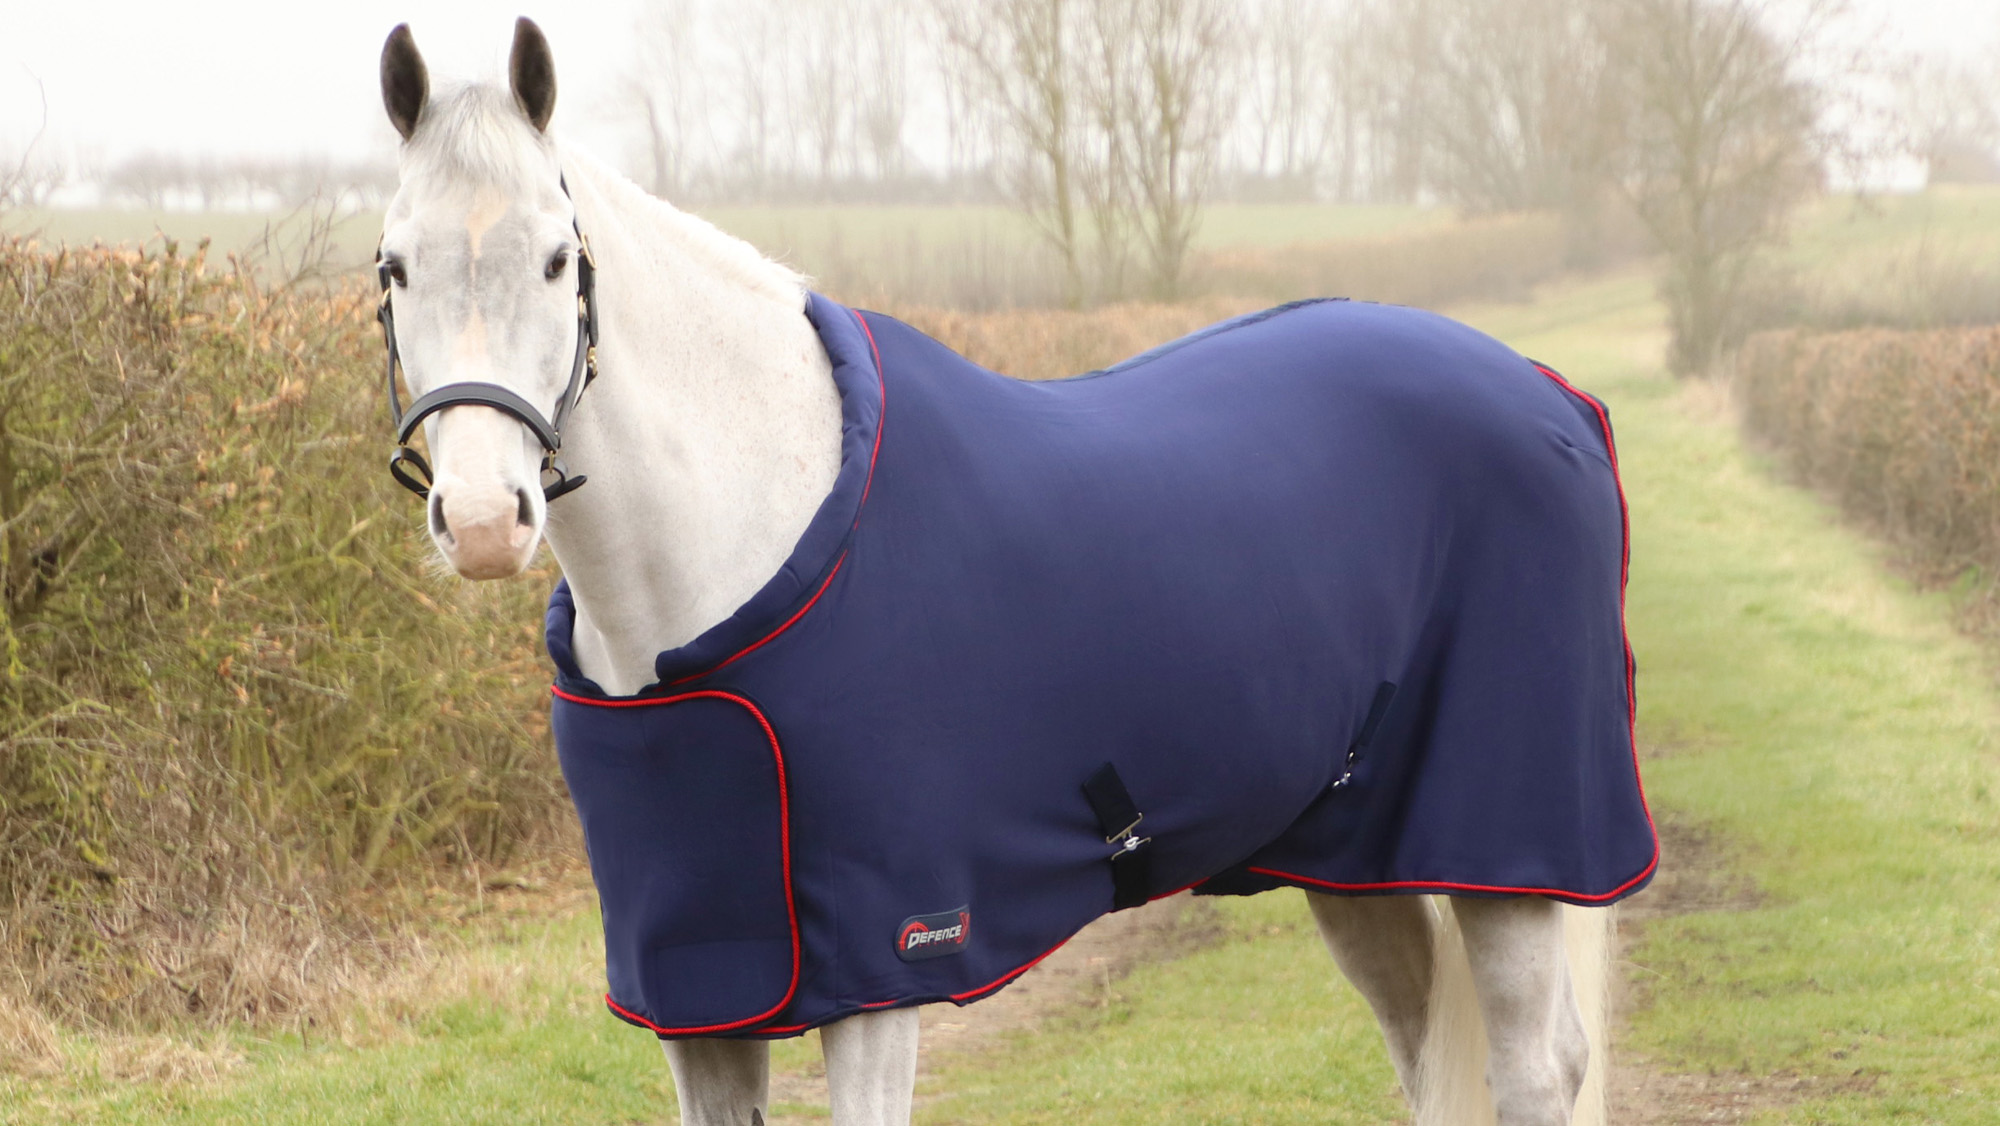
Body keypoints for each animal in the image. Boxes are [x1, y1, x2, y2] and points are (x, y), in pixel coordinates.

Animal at [369, 19, 1651, 1126]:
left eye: (555, 259)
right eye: (392, 268)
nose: (481, 519)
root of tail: (1549, 392)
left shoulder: (883, 967)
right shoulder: (705, 991)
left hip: (1505, 848)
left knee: (1535, 1069)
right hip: (1356, 857)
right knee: (1427, 1046)